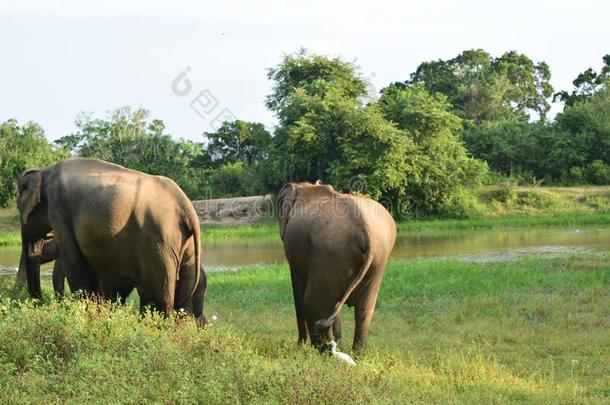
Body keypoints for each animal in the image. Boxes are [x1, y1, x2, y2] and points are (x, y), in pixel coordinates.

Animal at [17, 156, 208, 324]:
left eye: (19, 207)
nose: (38, 302)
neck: (45, 171)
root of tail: (185, 206)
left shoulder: (59, 210)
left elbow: (74, 262)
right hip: (184, 245)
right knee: (181, 302)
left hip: (158, 245)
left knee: (158, 298)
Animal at [278, 180, 396, 348]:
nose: (298, 344)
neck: (307, 186)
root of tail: (365, 229)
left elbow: (299, 291)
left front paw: (300, 347)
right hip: (377, 257)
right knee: (363, 309)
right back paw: (354, 351)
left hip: (332, 252)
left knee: (315, 303)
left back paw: (323, 350)